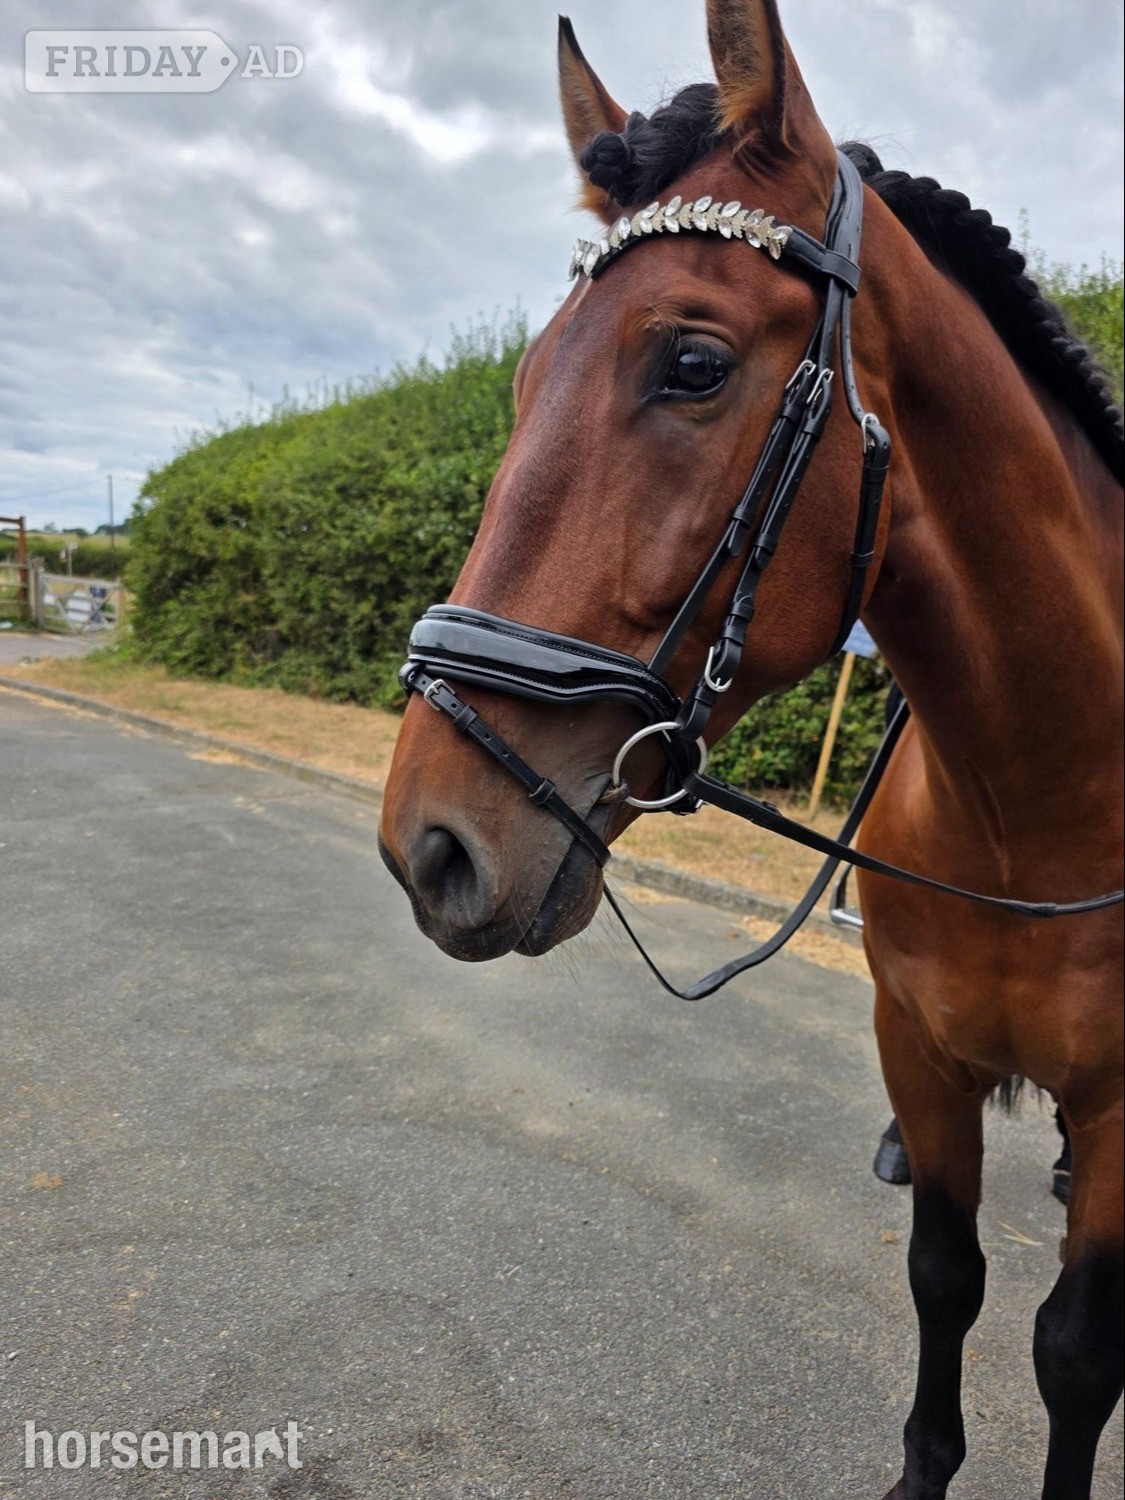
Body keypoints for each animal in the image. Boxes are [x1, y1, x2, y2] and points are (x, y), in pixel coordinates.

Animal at [378, 3, 1124, 1494]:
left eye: (693, 365)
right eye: (519, 380)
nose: (429, 844)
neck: (1039, 806)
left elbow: (1077, 1355)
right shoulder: (917, 1049)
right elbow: (944, 1276)